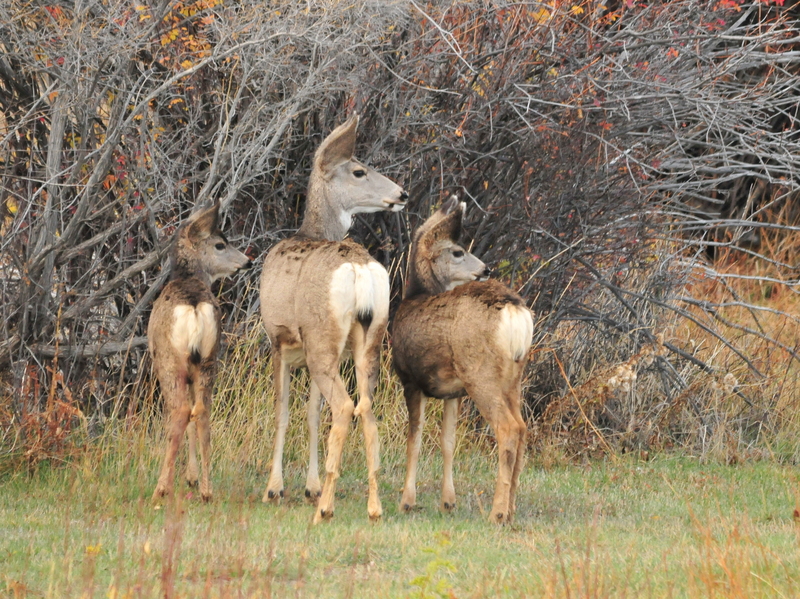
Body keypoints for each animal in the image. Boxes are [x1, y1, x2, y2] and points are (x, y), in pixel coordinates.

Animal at [147, 204, 252, 504]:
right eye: (220, 244)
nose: (247, 261)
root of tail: (193, 307)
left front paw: (182, 479)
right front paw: (192, 477)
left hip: (170, 362)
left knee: (180, 412)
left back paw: (161, 488)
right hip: (209, 360)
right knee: (202, 412)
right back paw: (206, 490)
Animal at [260, 115, 410, 524]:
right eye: (359, 171)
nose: (402, 194)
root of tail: (357, 269)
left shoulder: (278, 339)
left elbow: (282, 412)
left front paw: (275, 488)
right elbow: (311, 413)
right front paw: (308, 486)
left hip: (320, 337)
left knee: (343, 407)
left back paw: (325, 508)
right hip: (369, 338)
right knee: (366, 408)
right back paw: (373, 507)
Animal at [392, 197, 536, 524]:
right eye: (458, 251)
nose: (486, 268)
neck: (414, 297)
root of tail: (515, 311)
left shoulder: (411, 379)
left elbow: (414, 440)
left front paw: (406, 501)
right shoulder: (452, 392)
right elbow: (448, 442)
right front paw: (448, 502)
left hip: (480, 373)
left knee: (508, 428)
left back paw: (497, 513)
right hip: (513, 377)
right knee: (522, 428)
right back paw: (511, 509)